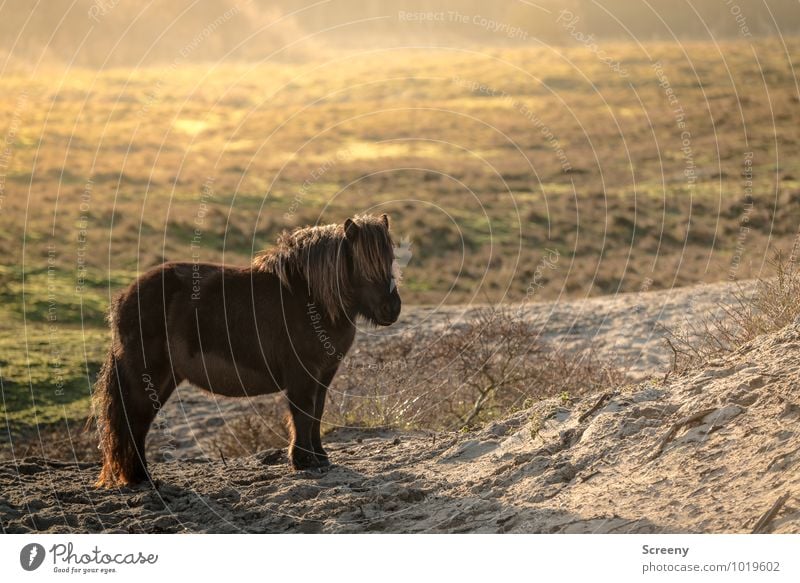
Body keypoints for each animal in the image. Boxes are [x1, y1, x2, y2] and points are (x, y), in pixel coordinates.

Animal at [93, 214, 400, 488]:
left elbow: (317, 413)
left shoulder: (323, 375)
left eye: (391, 259)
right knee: (135, 421)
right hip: (148, 376)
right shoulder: (302, 377)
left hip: (166, 378)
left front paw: (319, 457)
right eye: (361, 264)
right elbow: (302, 413)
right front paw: (303, 461)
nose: (392, 309)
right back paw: (141, 478)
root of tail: (124, 298)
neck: (311, 299)